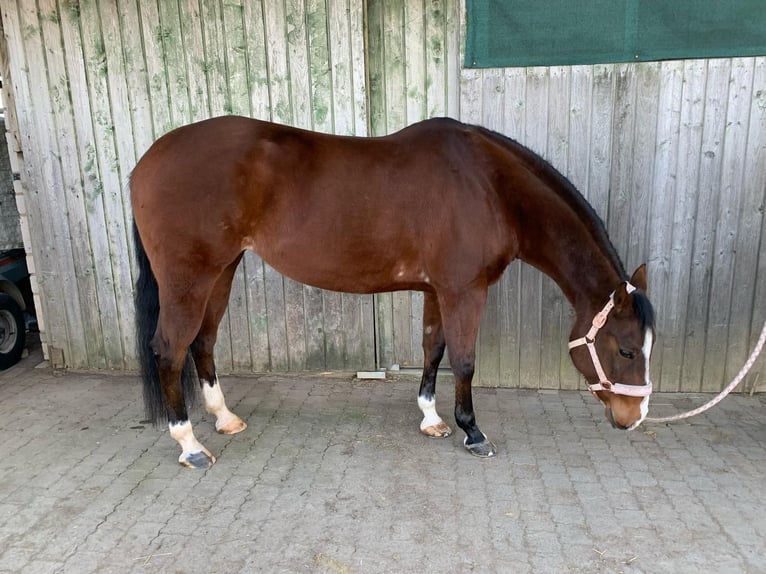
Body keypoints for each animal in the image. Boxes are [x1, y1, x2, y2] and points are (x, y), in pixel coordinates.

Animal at [130, 116, 656, 468]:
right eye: (627, 350)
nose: (634, 418)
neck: (489, 186)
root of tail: (147, 161)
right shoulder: (465, 291)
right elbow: (464, 360)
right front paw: (472, 431)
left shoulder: (437, 290)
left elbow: (433, 349)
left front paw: (431, 419)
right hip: (190, 277)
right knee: (170, 349)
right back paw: (190, 445)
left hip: (222, 270)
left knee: (203, 340)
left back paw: (224, 418)